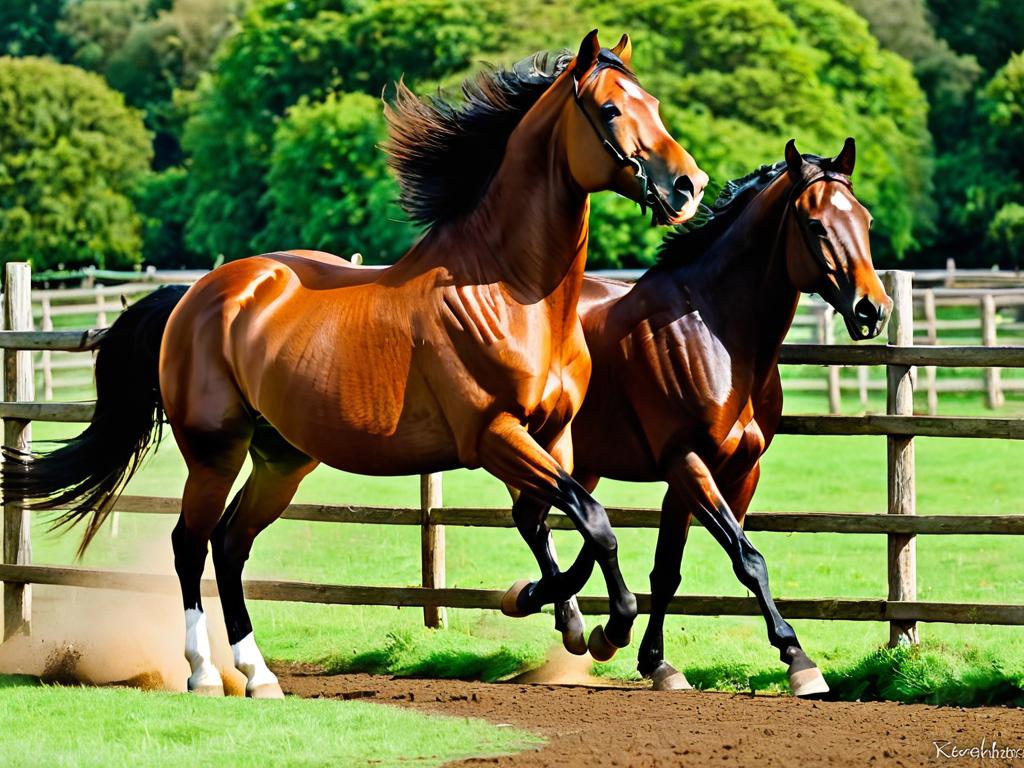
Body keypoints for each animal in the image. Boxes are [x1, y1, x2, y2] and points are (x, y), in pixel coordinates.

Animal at [0, 33, 704, 700]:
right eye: (610, 109)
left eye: (654, 103)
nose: (688, 186)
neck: (509, 291)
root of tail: (197, 293)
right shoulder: (493, 436)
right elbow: (594, 521)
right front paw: (606, 626)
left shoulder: (550, 437)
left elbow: (559, 523)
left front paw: (556, 613)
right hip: (215, 450)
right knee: (189, 544)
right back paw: (203, 673)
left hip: (281, 458)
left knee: (229, 545)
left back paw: (259, 675)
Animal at [507, 138, 892, 696]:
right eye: (816, 225)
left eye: (864, 220)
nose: (872, 310)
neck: (715, 331)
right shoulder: (688, 463)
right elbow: (747, 558)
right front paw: (798, 660)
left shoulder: (735, 470)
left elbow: (670, 569)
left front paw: (654, 661)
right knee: (534, 522)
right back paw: (562, 612)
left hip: (582, 462)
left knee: (555, 524)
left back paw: (578, 620)